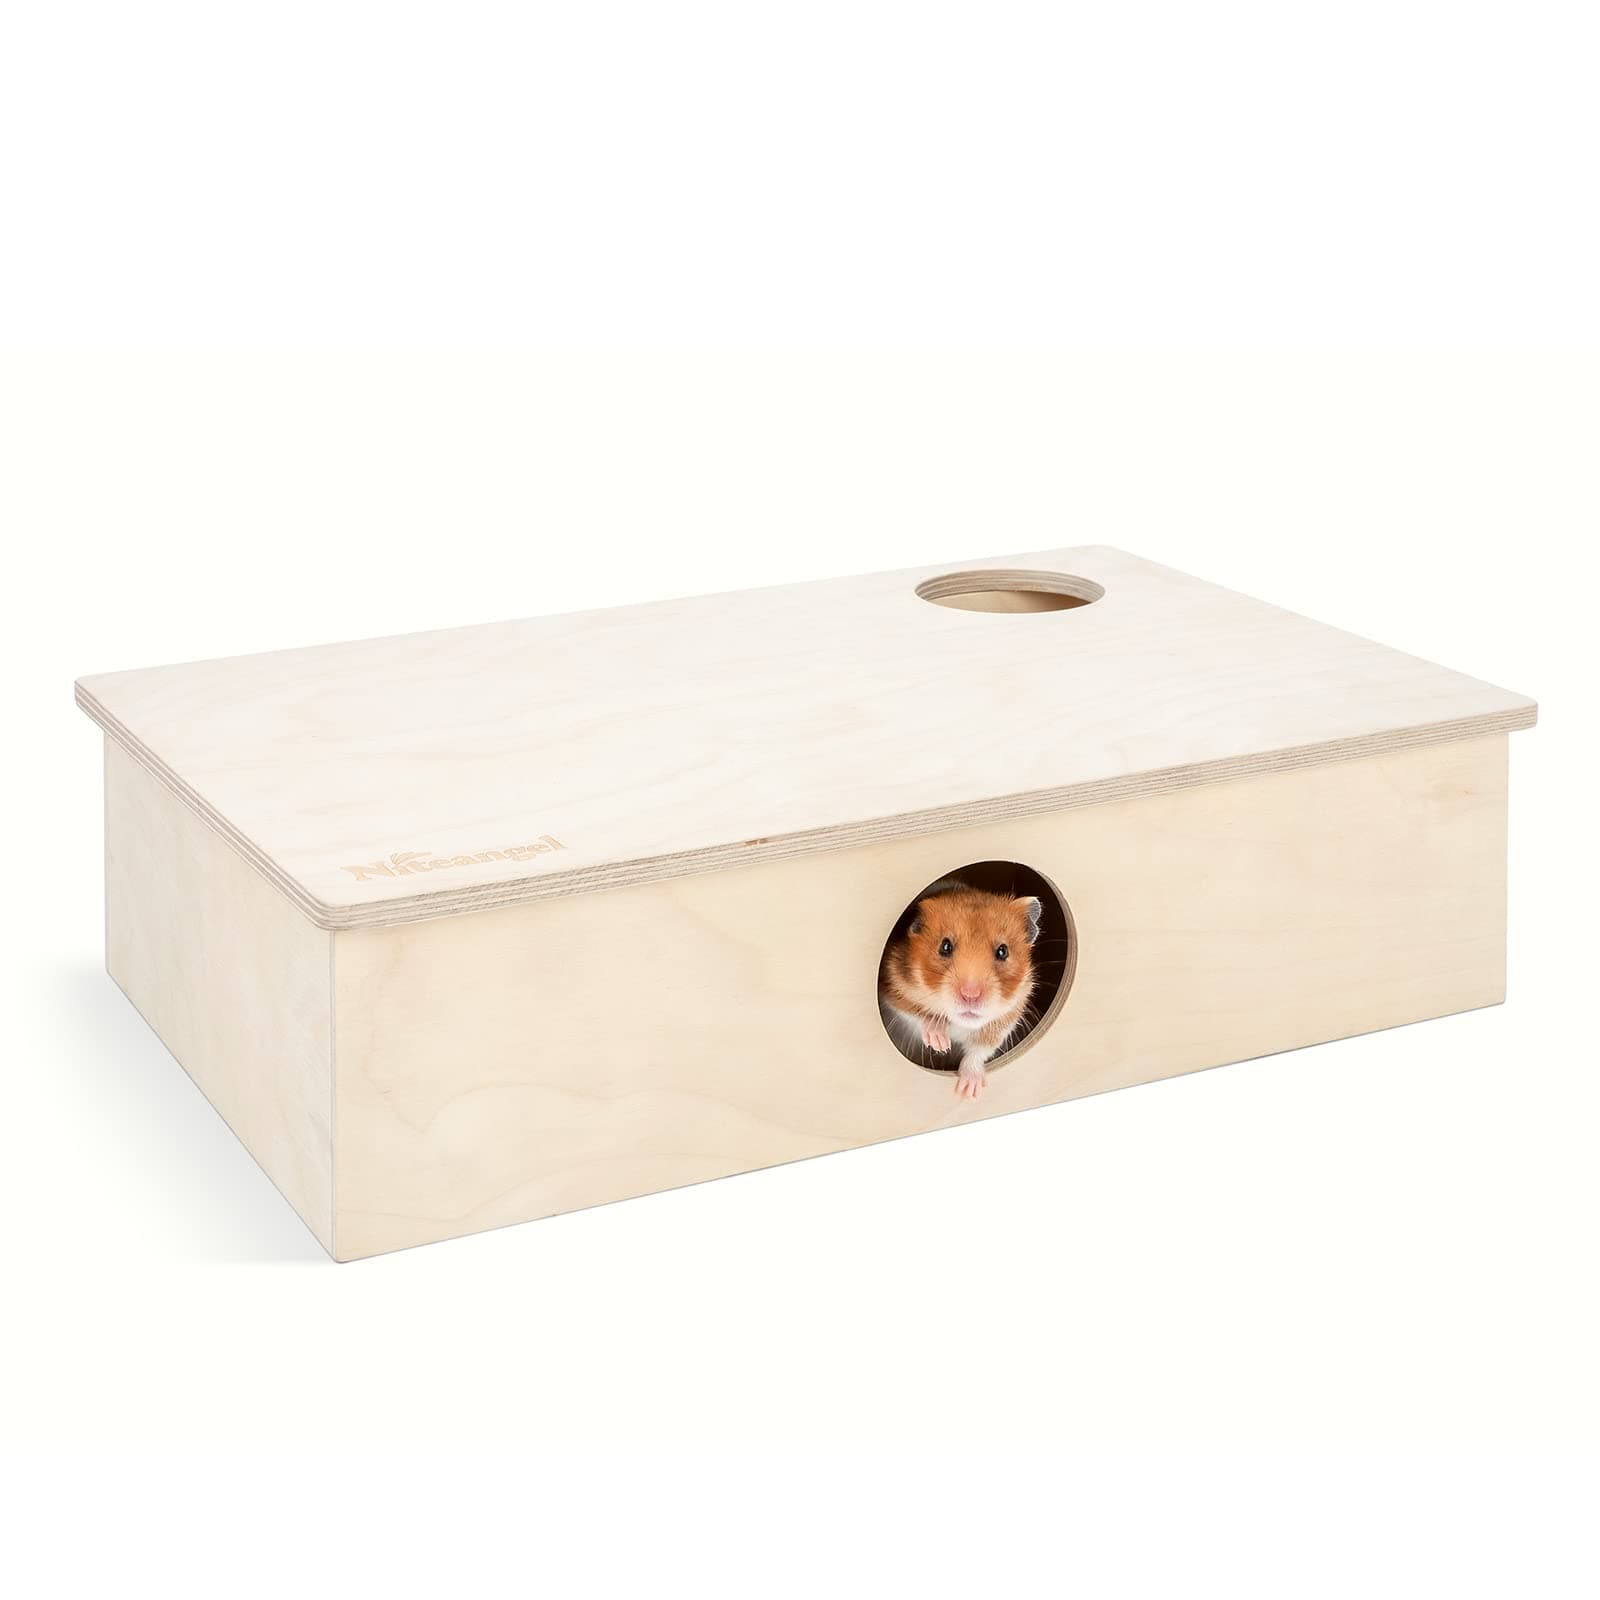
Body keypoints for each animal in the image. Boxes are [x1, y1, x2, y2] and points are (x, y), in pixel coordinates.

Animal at [878, 880, 1043, 1099]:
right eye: (945, 946)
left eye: (1003, 951)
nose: (970, 995)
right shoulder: (893, 988)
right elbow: (917, 1014)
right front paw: (940, 1045)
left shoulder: (1006, 1018)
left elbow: (978, 1051)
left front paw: (968, 1091)